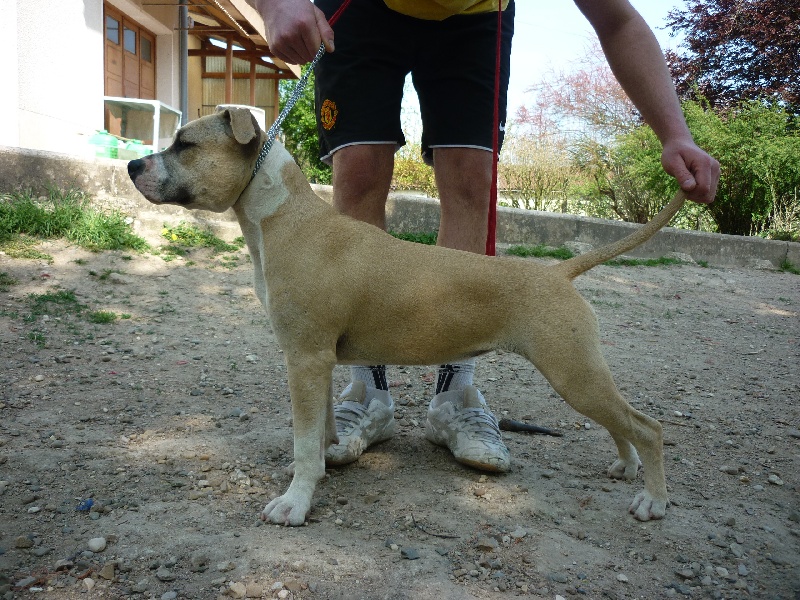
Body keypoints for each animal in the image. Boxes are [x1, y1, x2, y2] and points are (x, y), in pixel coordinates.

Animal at [128, 108, 684, 524]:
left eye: (184, 144)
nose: (133, 164)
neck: (286, 218)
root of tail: (559, 272)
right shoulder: (316, 361)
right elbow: (321, 429)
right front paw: (327, 461)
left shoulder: (304, 358)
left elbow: (303, 443)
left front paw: (295, 502)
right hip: (580, 375)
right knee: (621, 423)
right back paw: (625, 466)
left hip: (573, 372)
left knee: (648, 426)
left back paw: (653, 501)